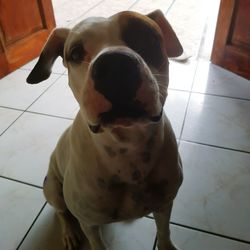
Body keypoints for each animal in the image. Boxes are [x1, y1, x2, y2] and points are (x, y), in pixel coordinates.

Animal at [26, 8, 184, 249]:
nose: (115, 66)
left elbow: (164, 232)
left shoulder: (165, 204)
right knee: (62, 212)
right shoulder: (89, 223)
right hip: (52, 187)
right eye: (75, 53)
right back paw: (69, 232)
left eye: (146, 36)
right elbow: (95, 241)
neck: (127, 148)